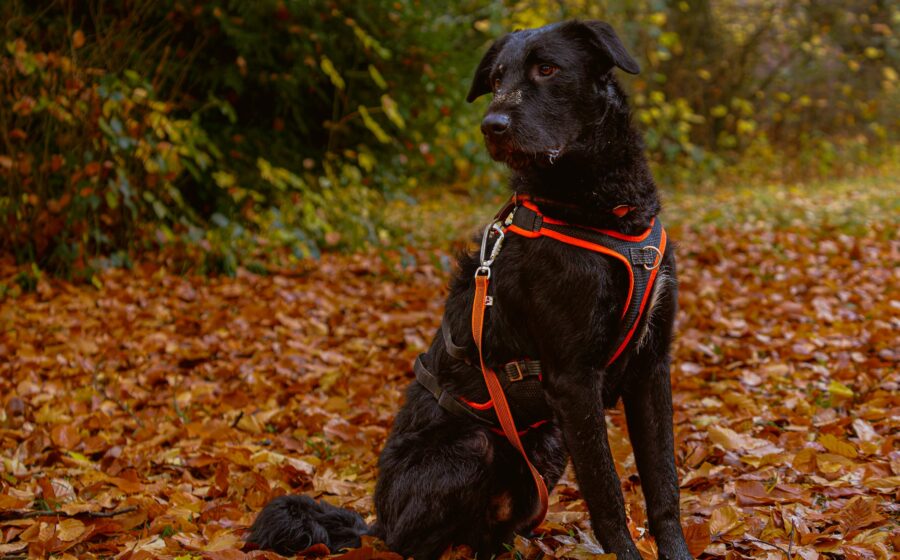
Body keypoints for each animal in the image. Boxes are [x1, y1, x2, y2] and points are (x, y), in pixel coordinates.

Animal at [249, 20, 692, 560]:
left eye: (548, 69)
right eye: (497, 78)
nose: (491, 125)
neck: (606, 209)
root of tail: (376, 523)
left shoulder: (652, 366)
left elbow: (664, 483)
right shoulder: (573, 378)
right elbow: (607, 493)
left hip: (547, 445)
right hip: (476, 448)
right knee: (414, 544)